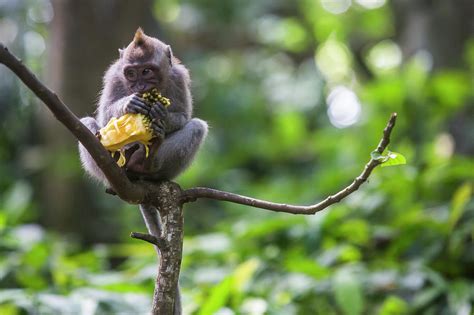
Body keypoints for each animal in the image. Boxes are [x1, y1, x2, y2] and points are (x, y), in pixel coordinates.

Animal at [78, 28, 206, 314]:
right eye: (131, 73)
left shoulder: (179, 77)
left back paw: (146, 165)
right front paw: (130, 104)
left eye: (147, 71)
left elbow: (184, 116)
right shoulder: (113, 76)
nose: (139, 87)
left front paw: (161, 117)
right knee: (88, 126)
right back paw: (121, 163)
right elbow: (103, 117)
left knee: (196, 126)